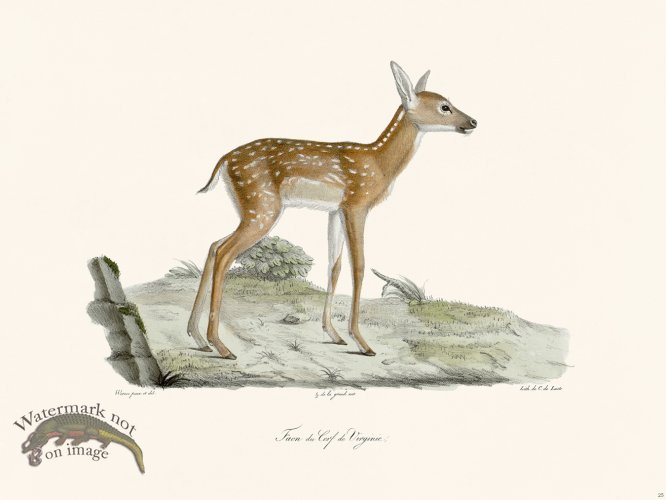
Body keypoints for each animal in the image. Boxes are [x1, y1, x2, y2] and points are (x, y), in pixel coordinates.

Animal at [187, 61, 477, 360]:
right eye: (444, 106)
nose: (473, 122)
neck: (379, 164)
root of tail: (224, 161)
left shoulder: (335, 210)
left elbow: (334, 266)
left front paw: (334, 335)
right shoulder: (356, 204)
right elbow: (358, 266)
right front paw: (362, 342)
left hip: (250, 208)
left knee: (214, 245)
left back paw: (198, 338)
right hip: (263, 206)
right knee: (224, 252)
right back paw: (221, 346)